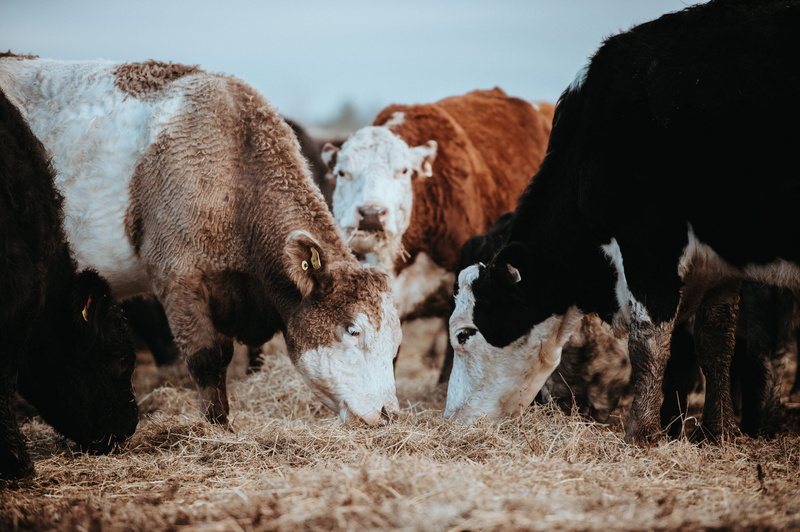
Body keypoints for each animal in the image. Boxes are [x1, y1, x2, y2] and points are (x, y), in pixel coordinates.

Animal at [0, 56, 402, 429]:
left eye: (396, 342)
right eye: (353, 330)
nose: (388, 413)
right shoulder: (176, 276)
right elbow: (207, 358)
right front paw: (218, 426)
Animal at [445, 0, 800, 445]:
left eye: (464, 334)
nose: (450, 418)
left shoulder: (649, 244)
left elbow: (648, 343)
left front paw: (640, 432)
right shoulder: (720, 270)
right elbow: (717, 342)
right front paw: (719, 432)